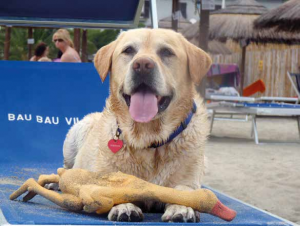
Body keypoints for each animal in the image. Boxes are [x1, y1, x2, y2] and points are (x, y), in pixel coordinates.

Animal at [63, 28, 211, 222]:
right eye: (128, 50)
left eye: (166, 52)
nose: (142, 65)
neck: (148, 139)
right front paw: (125, 207)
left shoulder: (188, 180)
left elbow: (184, 192)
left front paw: (182, 208)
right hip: (75, 136)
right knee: (64, 169)